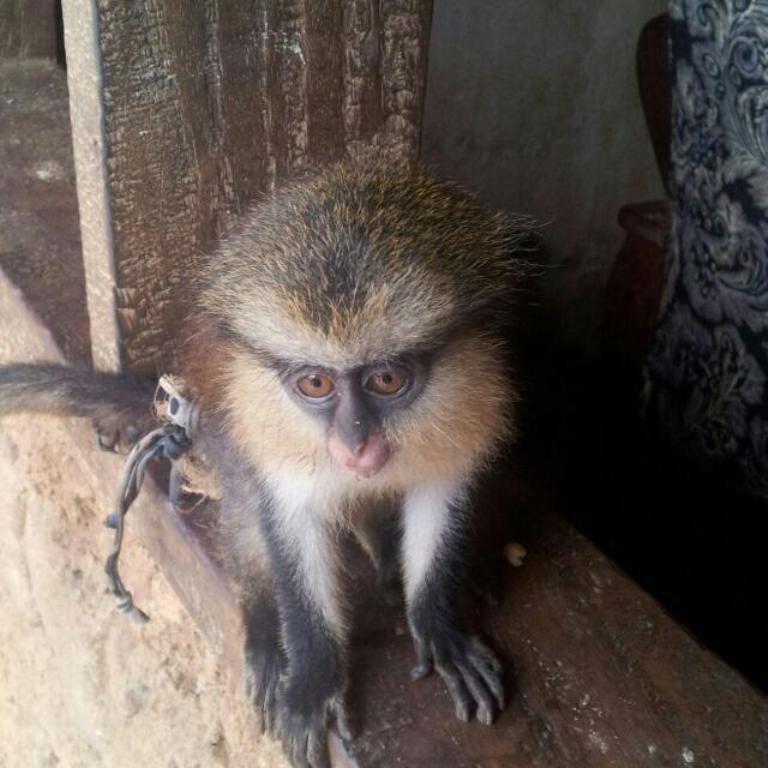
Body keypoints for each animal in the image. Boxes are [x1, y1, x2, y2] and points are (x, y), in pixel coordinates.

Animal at [0, 164, 528, 768]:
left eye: (387, 379)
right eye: (316, 383)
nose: (355, 443)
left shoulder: (468, 413)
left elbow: (438, 501)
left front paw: (440, 627)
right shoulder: (272, 444)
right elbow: (290, 531)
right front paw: (313, 680)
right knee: (248, 511)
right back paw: (262, 626)